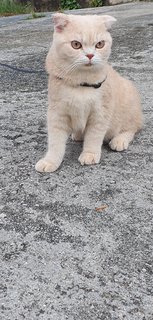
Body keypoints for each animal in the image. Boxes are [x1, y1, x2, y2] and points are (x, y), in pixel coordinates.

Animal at [35, 13, 143, 172]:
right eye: (76, 44)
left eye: (100, 44)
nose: (90, 55)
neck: (82, 83)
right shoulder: (57, 113)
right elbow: (55, 142)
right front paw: (50, 161)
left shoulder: (100, 113)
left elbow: (94, 136)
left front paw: (89, 154)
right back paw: (78, 134)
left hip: (128, 105)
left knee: (131, 128)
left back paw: (119, 140)